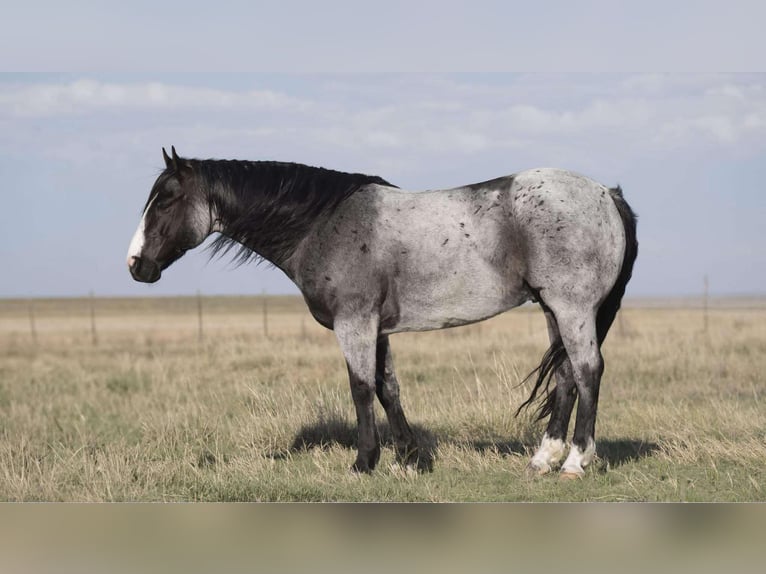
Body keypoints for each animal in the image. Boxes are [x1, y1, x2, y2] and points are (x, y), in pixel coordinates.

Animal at [129, 146, 640, 480]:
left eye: (167, 198)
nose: (136, 265)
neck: (324, 223)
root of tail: (605, 193)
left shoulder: (354, 323)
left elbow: (360, 388)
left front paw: (364, 462)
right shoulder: (376, 329)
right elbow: (387, 387)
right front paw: (410, 458)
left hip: (572, 307)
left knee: (588, 370)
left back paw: (575, 463)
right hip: (555, 310)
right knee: (567, 376)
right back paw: (542, 459)